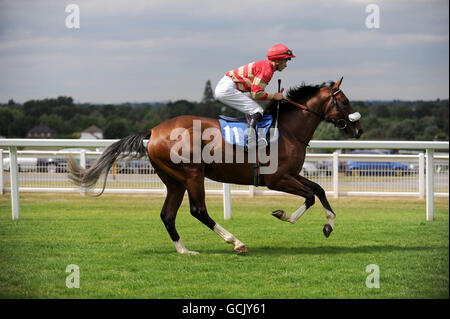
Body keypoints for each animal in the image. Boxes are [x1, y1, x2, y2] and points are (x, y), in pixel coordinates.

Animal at [67, 77, 362, 255]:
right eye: (345, 101)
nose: (358, 129)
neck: (288, 130)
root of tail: (153, 131)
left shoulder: (291, 174)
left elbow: (319, 190)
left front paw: (328, 225)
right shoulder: (276, 179)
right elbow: (310, 195)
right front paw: (283, 215)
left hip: (174, 181)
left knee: (167, 215)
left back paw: (184, 250)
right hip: (192, 175)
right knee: (198, 211)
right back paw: (236, 242)